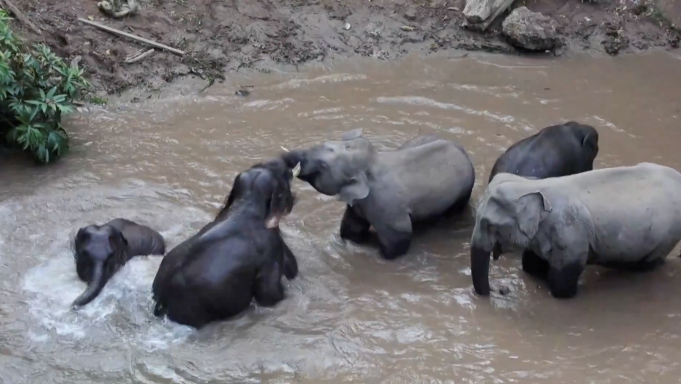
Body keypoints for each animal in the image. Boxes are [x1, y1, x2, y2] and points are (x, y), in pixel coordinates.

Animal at [153, 154, 302, 328]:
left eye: (259, 164)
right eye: (282, 174)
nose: (281, 159)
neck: (245, 204)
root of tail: (161, 303)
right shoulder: (270, 252)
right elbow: (270, 295)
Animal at [282, 130, 472, 260]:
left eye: (323, 166)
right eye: (322, 145)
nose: (287, 158)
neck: (372, 163)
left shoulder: (390, 212)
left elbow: (397, 241)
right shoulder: (359, 206)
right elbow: (351, 229)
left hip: (462, 196)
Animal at [470, 162, 680, 300]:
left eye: (489, 224)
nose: (497, 290)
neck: (531, 184)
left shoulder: (571, 233)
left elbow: (562, 282)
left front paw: (559, 289)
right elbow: (531, 266)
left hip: (667, 236)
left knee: (648, 263)